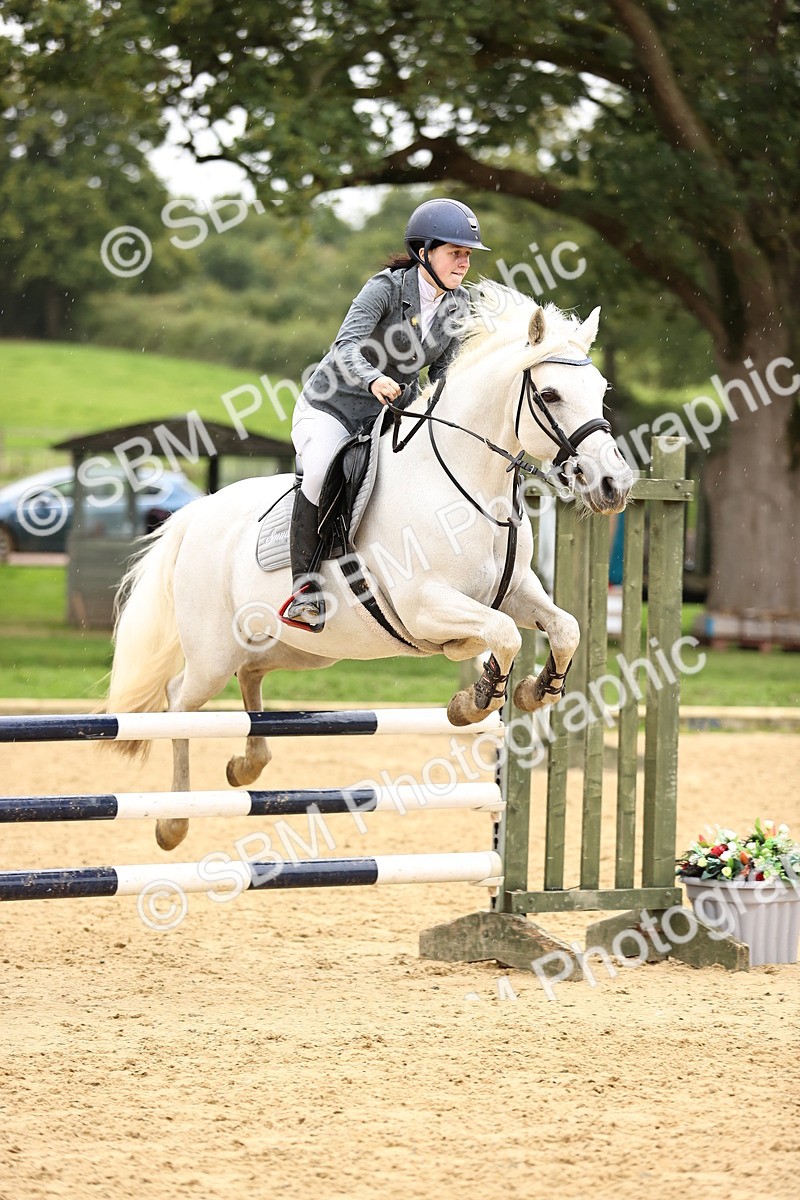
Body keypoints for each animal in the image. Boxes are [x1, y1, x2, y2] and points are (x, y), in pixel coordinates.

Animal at [106, 284, 634, 851]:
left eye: (600, 389)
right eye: (550, 395)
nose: (613, 485)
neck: (465, 486)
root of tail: (197, 514)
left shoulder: (516, 593)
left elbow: (564, 627)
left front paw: (535, 691)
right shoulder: (425, 605)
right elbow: (504, 634)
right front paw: (473, 700)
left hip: (300, 649)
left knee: (252, 673)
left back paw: (247, 765)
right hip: (212, 653)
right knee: (180, 703)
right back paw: (173, 822)